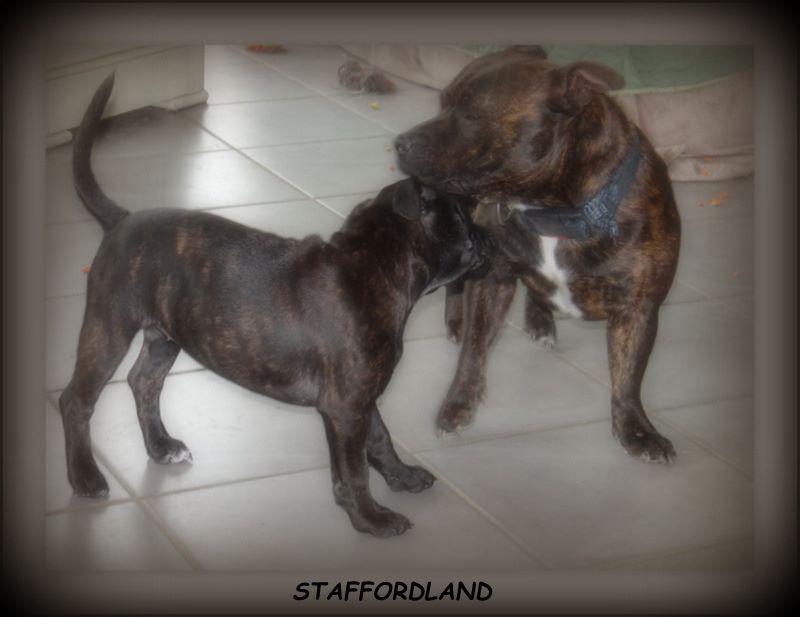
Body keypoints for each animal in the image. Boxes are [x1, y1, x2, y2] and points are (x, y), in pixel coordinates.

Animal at [60, 74, 490, 537]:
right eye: (462, 218)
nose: (489, 236)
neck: (372, 263)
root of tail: (121, 219)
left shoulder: (358, 398)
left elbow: (380, 438)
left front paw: (401, 476)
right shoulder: (346, 407)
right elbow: (353, 469)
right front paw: (370, 518)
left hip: (164, 335)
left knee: (143, 382)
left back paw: (161, 447)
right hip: (109, 327)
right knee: (76, 400)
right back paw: (85, 477)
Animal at [394, 46, 681, 463]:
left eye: (470, 114)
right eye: (441, 102)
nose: (400, 142)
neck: (553, 210)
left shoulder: (638, 306)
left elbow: (629, 374)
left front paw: (637, 430)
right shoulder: (492, 278)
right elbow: (474, 349)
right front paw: (459, 403)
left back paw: (540, 318)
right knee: (458, 281)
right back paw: (458, 319)